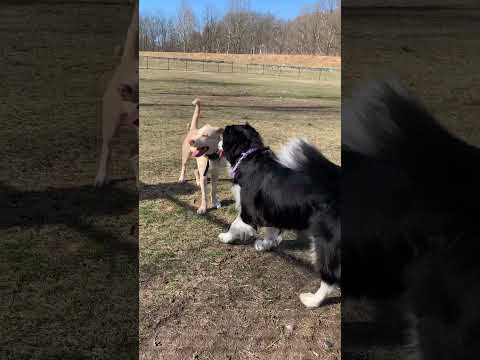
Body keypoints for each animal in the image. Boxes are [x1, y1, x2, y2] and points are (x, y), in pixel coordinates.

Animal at [218, 123, 342, 306]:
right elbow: (271, 230)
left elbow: (235, 225)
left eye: (224, 134)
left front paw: (225, 237)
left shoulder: (249, 213)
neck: (248, 157)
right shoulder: (271, 209)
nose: (217, 143)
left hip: (325, 239)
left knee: (330, 275)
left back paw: (312, 300)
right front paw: (265, 244)